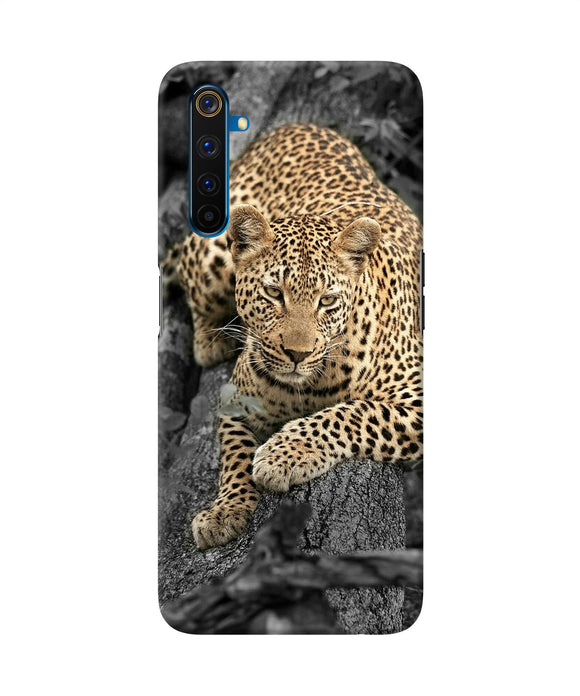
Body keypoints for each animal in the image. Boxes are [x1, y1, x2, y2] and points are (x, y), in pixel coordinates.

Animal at [166, 123, 423, 550]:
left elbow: (352, 413)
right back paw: (210, 340)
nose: (297, 354)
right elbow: (234, 456)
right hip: (212, 253)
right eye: (274, 293)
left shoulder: (417, 399)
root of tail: (295, 126)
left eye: (327, 300)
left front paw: (282, 455)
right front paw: (225, 511)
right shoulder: (235, 400)